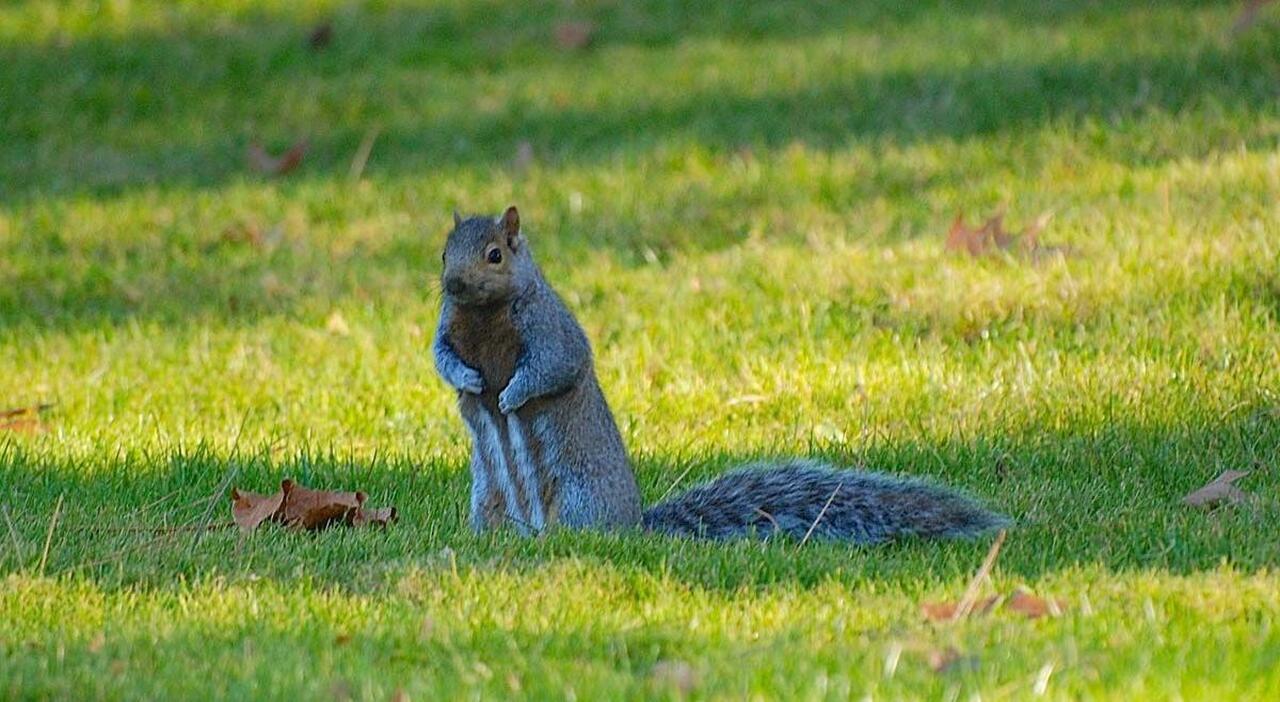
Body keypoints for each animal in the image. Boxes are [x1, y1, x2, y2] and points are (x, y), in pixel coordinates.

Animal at [432, 206, 1008, 540]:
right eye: (443, 253)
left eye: (495, 254)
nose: (453, 284)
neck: (484, 315)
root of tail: (634, 526)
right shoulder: (446, 329)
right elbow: (441, 357)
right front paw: (468, 380)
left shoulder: (550, 329)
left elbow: (552, 366)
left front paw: (511, 395)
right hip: (487, 498)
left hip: (579, 496)